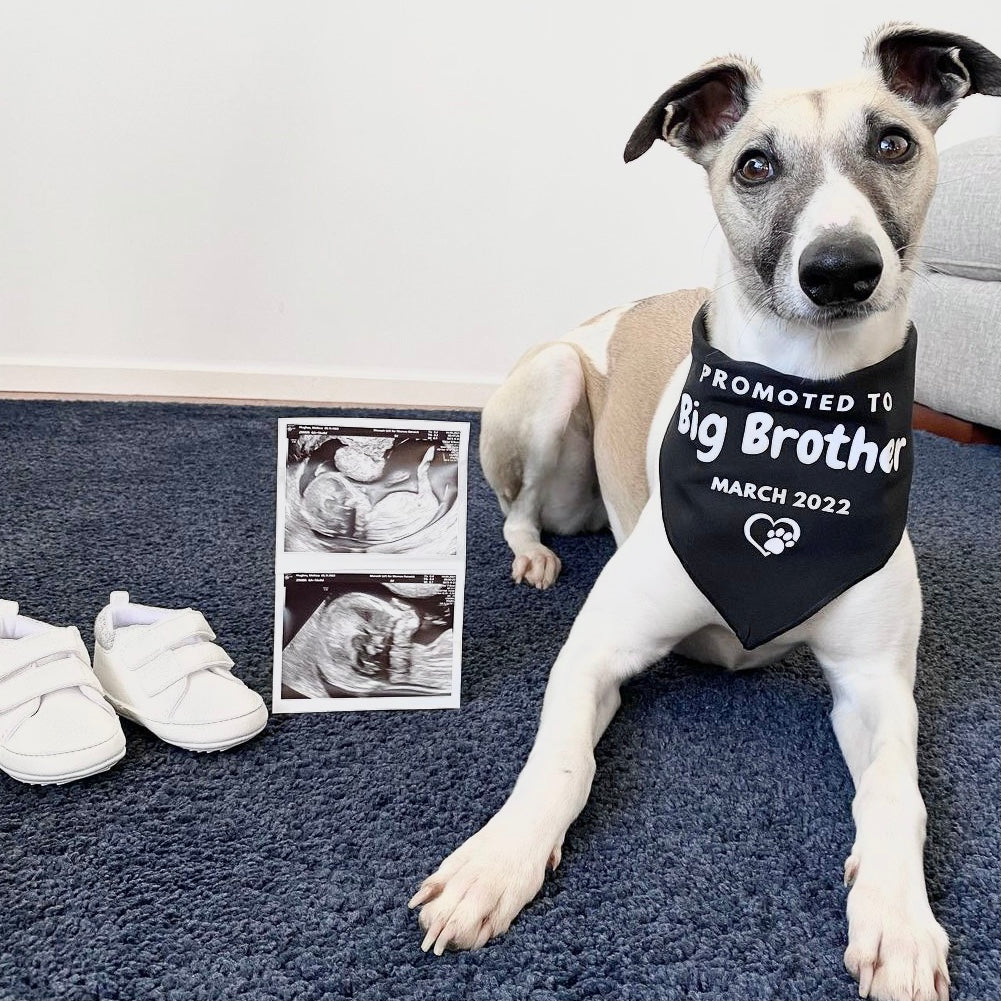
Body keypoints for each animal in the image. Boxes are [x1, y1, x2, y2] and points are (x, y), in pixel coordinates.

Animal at [406, 23, 1001, 1001]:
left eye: (892, 143)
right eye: (754, 164)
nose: (840, 270)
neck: (795, 419)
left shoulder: (875, 682)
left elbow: (895, 790)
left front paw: (899, 919)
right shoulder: (594, 650)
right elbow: (559, 760)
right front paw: (496, 861)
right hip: (551, 383)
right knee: (515, 510)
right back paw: (532, 556)